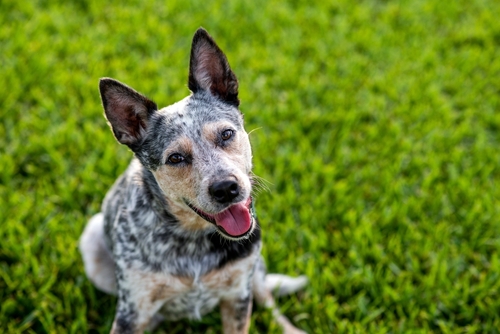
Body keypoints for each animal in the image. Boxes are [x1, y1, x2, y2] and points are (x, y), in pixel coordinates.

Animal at [79, 28, 306, 334]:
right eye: (175, 158)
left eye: (226, 134)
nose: (226, 188)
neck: (194, 241)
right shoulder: (132, 311)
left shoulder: (237, 295)